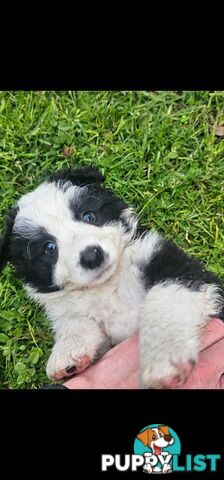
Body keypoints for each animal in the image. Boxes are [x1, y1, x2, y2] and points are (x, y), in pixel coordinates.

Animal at [0, 167, 224, 388]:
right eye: (49, 248)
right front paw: (67, 353)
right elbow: (75, 321)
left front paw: (162, 362)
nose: (91, 256)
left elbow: (165, 303)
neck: (107, 284)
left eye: (89, 216)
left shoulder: (177, 268)